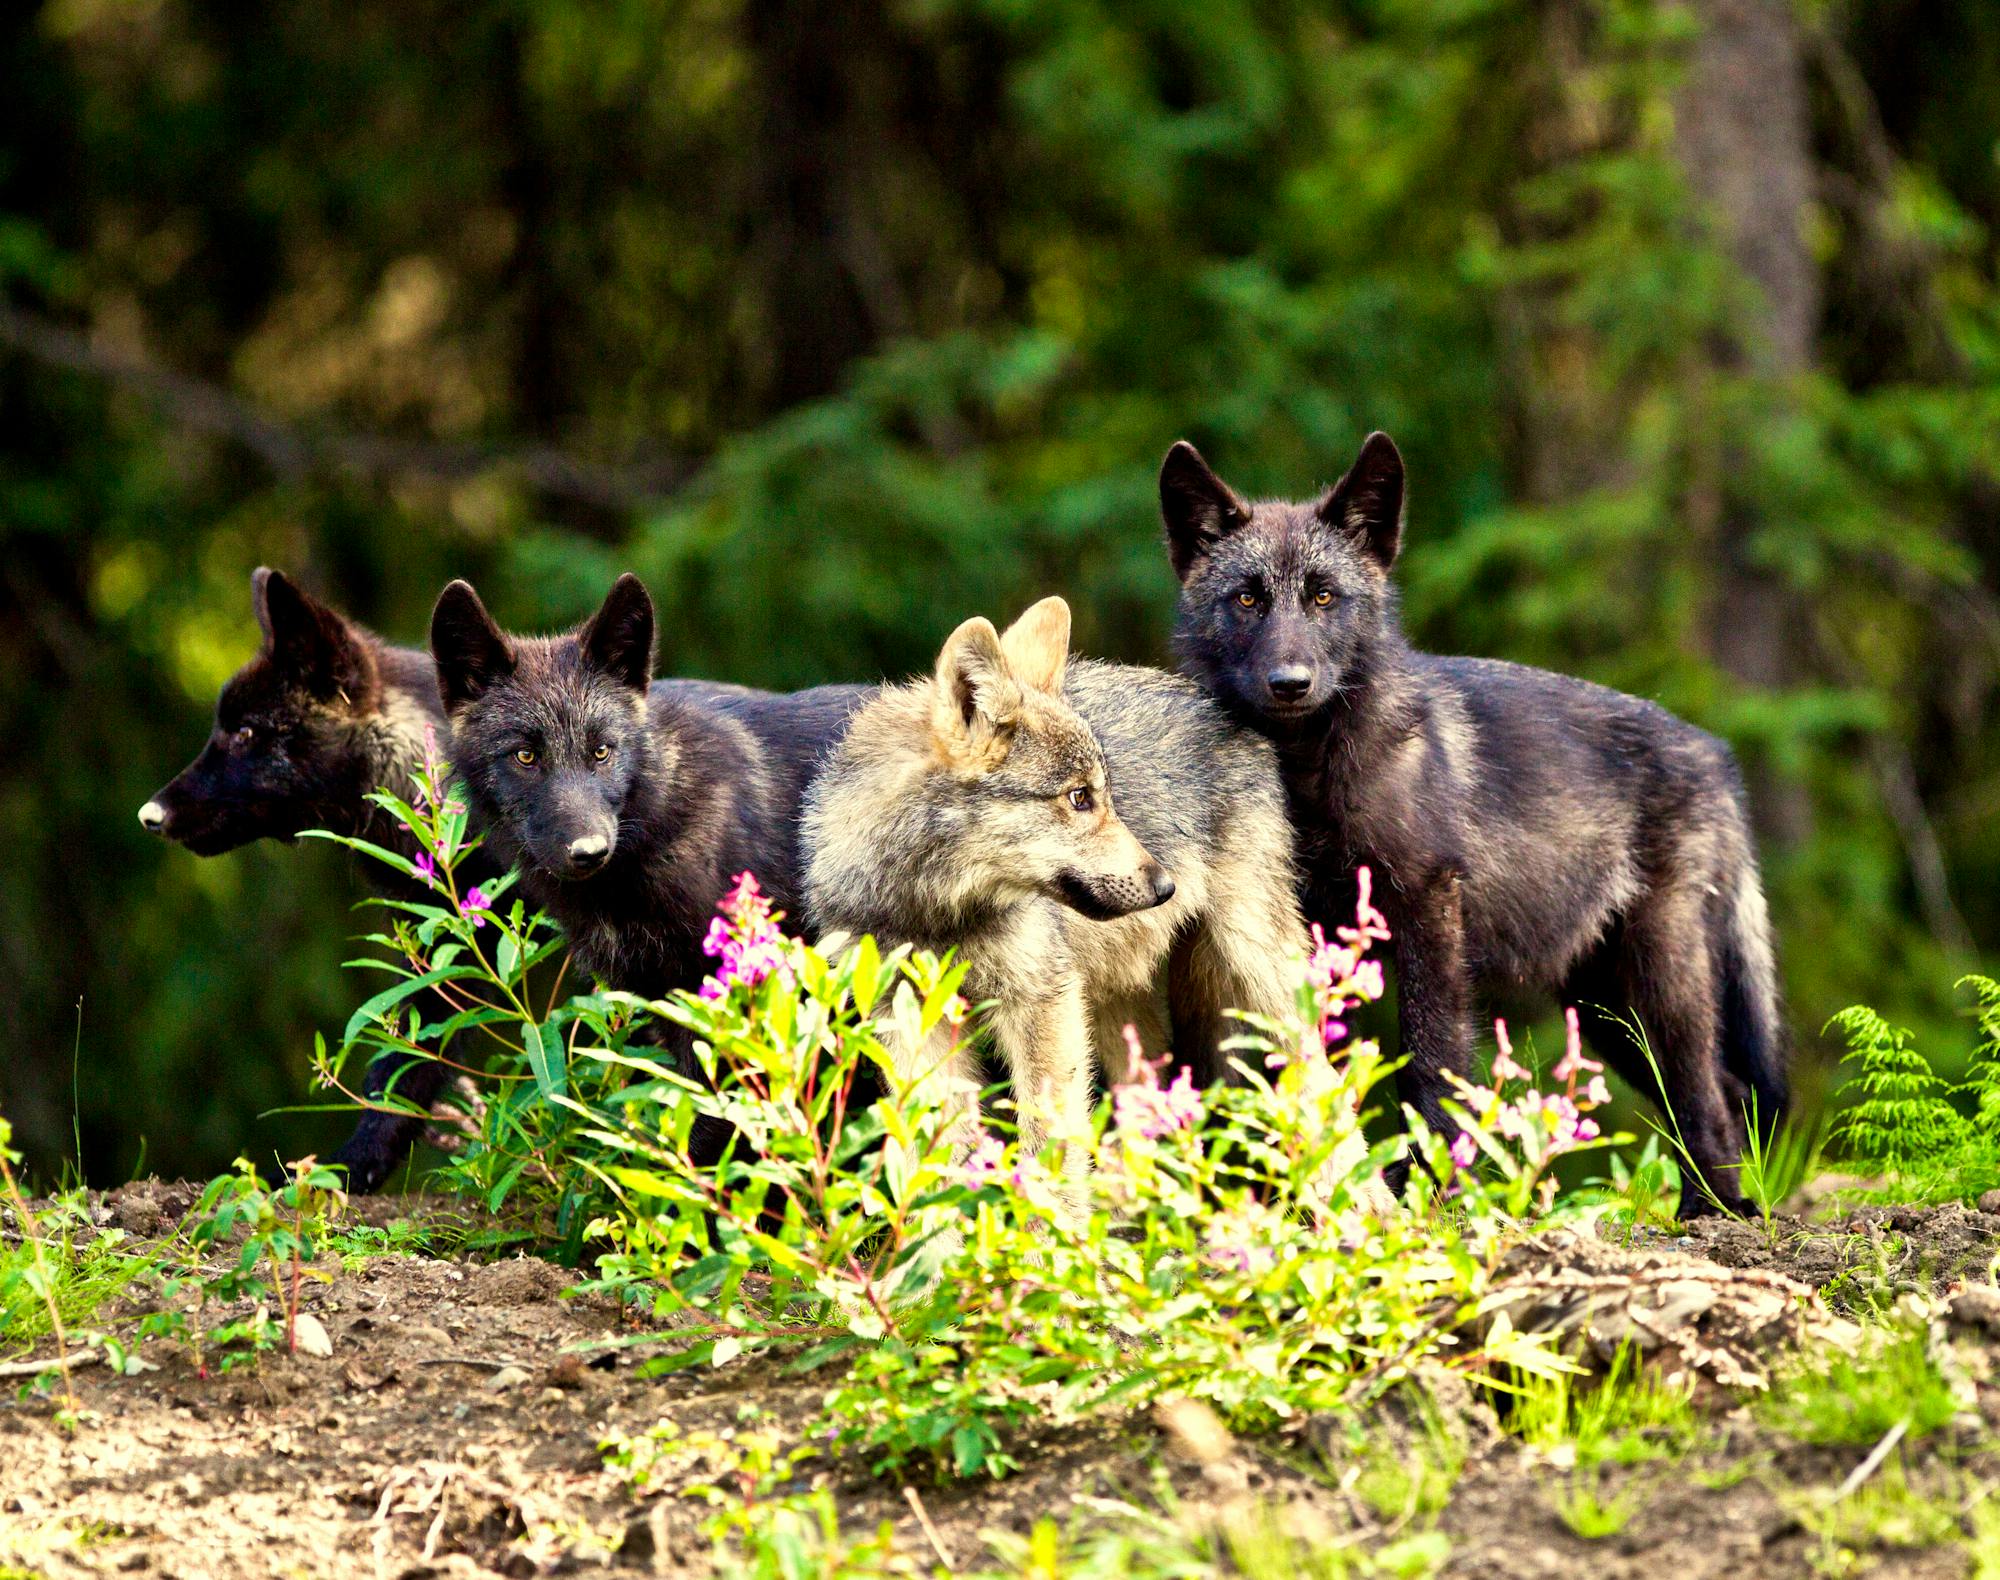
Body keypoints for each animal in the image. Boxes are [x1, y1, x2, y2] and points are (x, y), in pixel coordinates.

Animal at [1168, 426, 1792, 1216]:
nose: (1290, 683)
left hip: (1659, 976)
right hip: (1604, 1007)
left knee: (1707, 1090)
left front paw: (1432, 1193)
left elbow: (1432, 1063)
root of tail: (1715, 753)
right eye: (1247, 597)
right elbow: (1314, 1069)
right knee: (1725, 1090)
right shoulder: (1309, 934)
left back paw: (1715, 1215)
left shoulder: (1428, 912)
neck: (1309, 777)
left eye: (1323, 596)